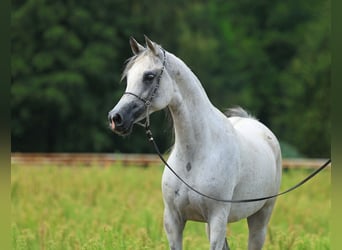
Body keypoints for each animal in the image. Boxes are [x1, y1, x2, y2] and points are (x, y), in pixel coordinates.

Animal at [108, 36, 282, 249]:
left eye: (149, 76)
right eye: (128, 77)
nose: (116, 118)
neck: (195, 154)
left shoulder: (217, 219)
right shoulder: (174, 220)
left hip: (260, 218)